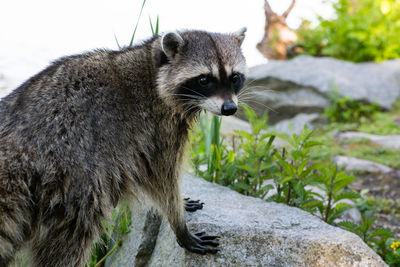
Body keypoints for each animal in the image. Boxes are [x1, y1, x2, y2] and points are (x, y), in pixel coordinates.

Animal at [0, 28, 247, 266]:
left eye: (235, 77)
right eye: (204, 79)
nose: (229, 108)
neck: (152, 68)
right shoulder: (157, 130)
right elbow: (162, 182)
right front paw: (179, 224)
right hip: (73, 180)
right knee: (72, 239)